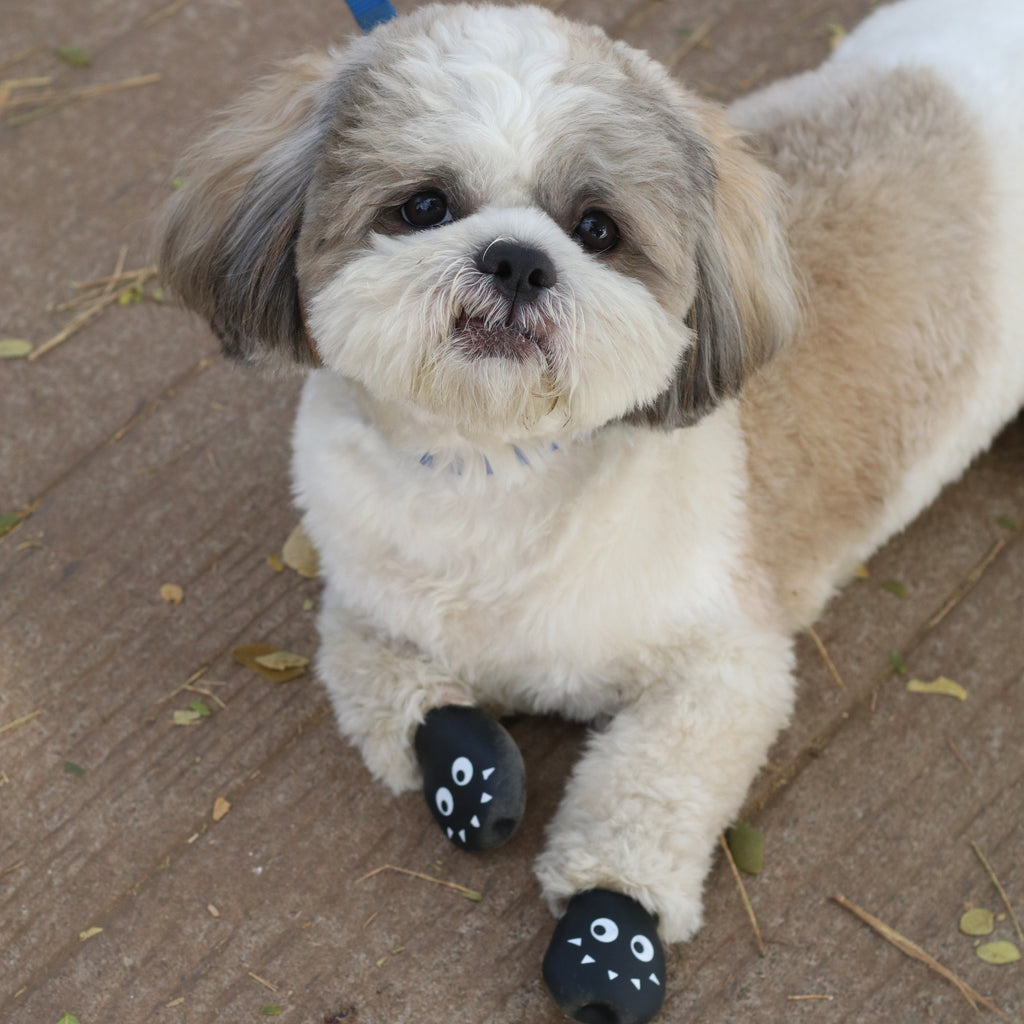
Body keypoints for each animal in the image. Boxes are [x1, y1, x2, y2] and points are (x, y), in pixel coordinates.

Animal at [157, 2, 1024, 1015]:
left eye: (597, 228)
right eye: (424, 207)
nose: (518, 259)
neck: (489, 470)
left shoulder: (724, 672)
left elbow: (642, 795)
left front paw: (611, 935)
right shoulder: (364, 603)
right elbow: (386, 685)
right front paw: (461, 769)